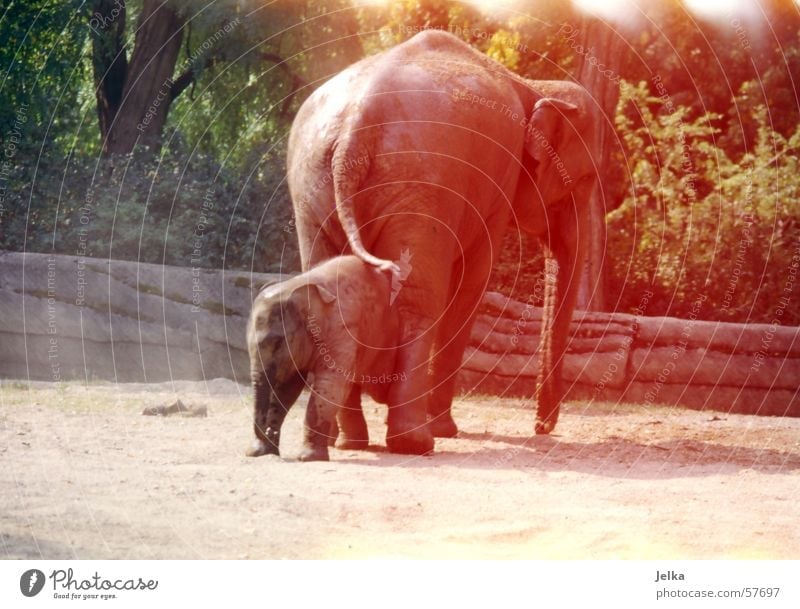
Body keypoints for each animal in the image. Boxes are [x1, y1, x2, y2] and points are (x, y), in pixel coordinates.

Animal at [247, 254, 404, 458]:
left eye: (278, 342)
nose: (267, 431)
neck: (298, 286)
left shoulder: (343, 327)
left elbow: (328, 384)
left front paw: (307, 458)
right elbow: (287, 388)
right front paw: (262, 452)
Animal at [288, 30, 600, 454]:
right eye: (584, 183)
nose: (542, 427)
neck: (532, 85)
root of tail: (354, 132)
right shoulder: (495, 185)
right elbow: (471, 281)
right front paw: (446, 430)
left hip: (313, 188)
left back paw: (349, 442)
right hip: (417, 186)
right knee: (420, 302)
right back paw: (415, 441)